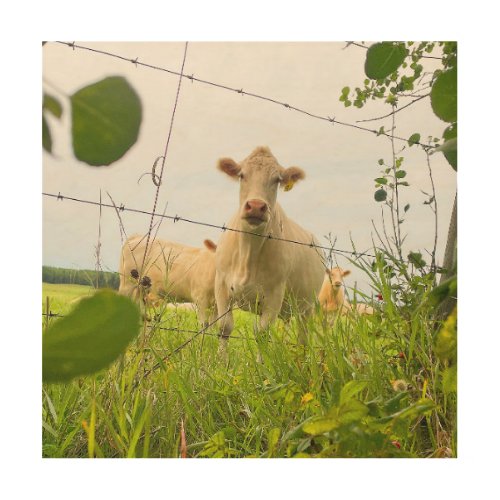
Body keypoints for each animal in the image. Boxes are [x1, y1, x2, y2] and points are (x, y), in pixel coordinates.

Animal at [214, 145, 324, 340]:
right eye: (242, 175)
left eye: (277, 180)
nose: (256, 206)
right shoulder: (221, 284)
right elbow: (225, 327)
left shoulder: (274, 294)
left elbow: (262, 333)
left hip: (307, 307)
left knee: (303, 337)